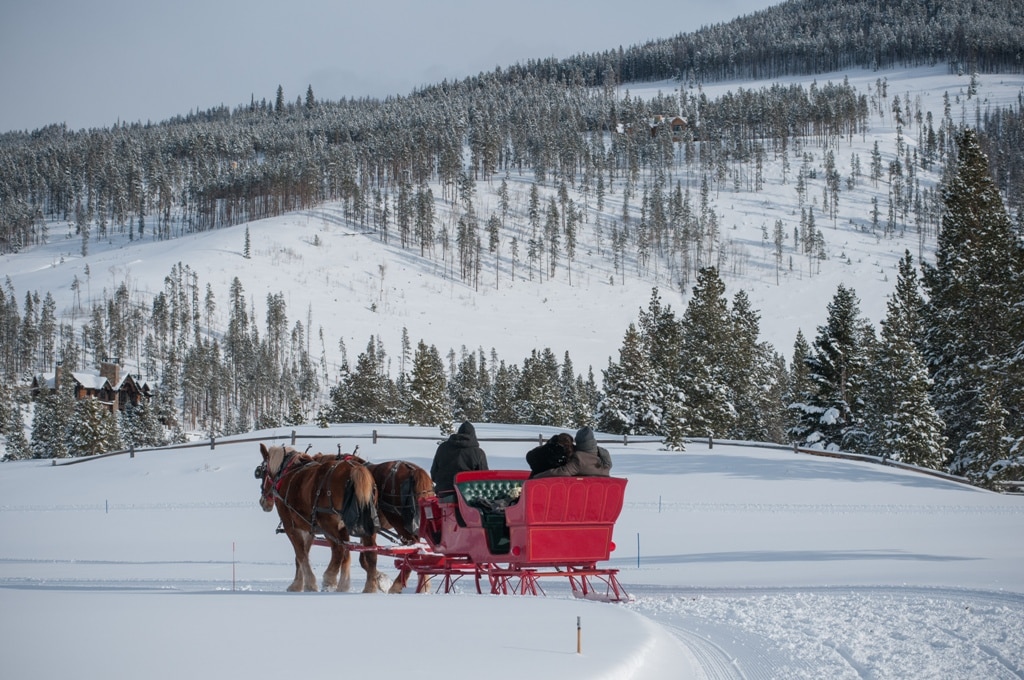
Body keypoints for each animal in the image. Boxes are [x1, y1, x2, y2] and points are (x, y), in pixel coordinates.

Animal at [258, 444, 382, 593]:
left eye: (262, 472)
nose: (263, 502)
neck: (287, 474)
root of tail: (355, 469)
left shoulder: (290, 527)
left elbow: (300, 554)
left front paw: (307, 584)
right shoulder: (309, 529)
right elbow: (304, 555)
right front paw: (300, 583)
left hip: (328, 524)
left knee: (338, 549)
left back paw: (329, 579)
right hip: (364, 523)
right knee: (370, 551)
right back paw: (368, 587)